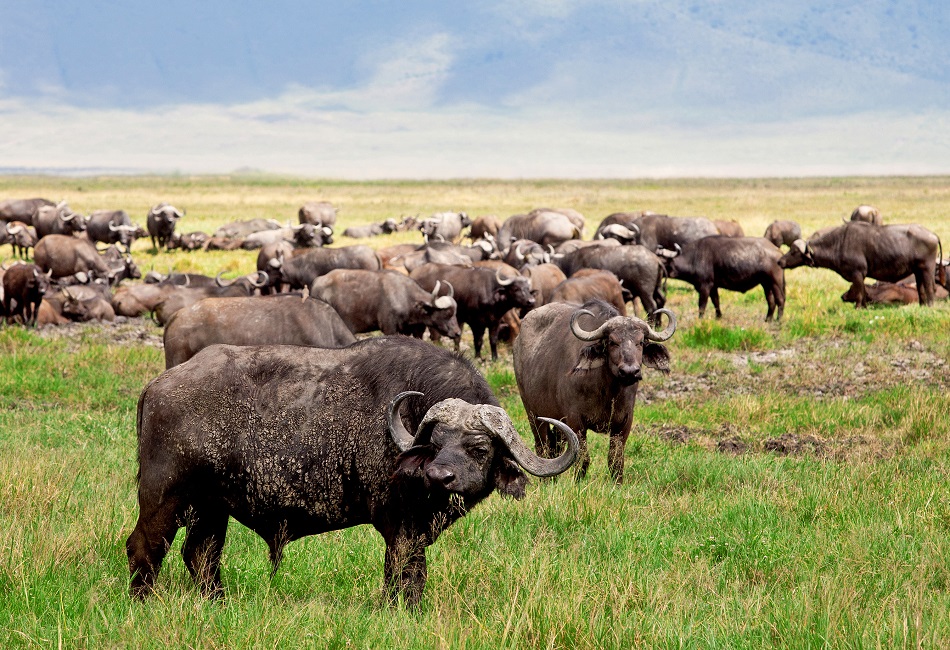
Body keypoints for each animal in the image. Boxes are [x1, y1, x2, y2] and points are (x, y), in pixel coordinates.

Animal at [127, 336, 580, 604]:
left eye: (479, 447)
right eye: (434, 444)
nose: (440, 477)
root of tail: (156, 386)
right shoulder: (400, 526)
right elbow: (406, 572)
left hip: (211, 507)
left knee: (200, 554)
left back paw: (219, 602)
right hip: (164, 497)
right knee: (144, 547)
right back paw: (142, 602)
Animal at [312, 268, 462, 340]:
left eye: (455, 313)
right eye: (446, 314)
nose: (457, 333)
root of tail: (317, 282)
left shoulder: (412, 331)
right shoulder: (389, 328)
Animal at [512, 298, 676, 480]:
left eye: (640, 342)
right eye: (612, 342)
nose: (630, 371)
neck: (608, 391)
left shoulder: (624, 422)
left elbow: (615, 460)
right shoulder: (576, 421)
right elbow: (582, 459)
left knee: (557, 448)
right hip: (533, 414)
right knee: (543, 447)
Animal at [780, 220, 944, 306]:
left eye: (794, 251)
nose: (780, 261)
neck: (839, 243)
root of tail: (933, 235)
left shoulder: (857, 274)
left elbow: (859, 292)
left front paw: (859, 307)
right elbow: (862, 292)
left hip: (927, 269)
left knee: (930, 288)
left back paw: (930, 306)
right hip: (918, 271)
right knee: (921, 288)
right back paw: (922, 306)